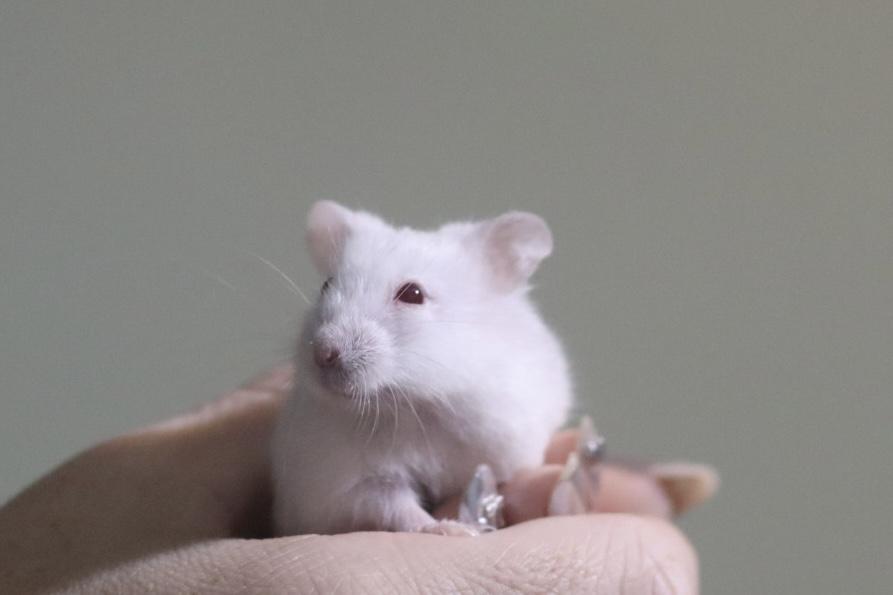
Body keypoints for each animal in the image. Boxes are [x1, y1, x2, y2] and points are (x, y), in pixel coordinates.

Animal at [271, 201, 572, 535]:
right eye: (326, 285)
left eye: (413, 294)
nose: (323, 353)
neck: (412, 407)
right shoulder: (346, 486)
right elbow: (395, 507)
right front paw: (449, 529)